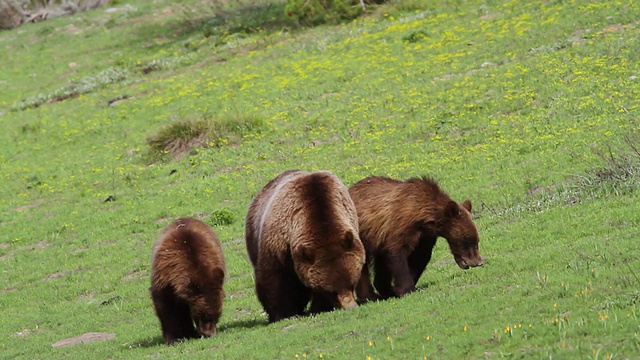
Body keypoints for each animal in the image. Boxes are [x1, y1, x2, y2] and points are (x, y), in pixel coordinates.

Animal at [245, 169, 364, 324]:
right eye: (332, 291)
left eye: (352, 284)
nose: (351, 306)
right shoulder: (278, 245)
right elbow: (276, 280)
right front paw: (284, 314)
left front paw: (320, 307)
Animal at [350, 176, 484, 300]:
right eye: (467, 240)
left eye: (477, 240)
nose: (478, 262)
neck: (423, 216)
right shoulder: (400, 226)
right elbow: (397, 253)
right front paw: (406, 289)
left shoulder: (425, 236)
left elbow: (421, 256)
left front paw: (405, 286)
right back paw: (369, 295)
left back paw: (386, 290)